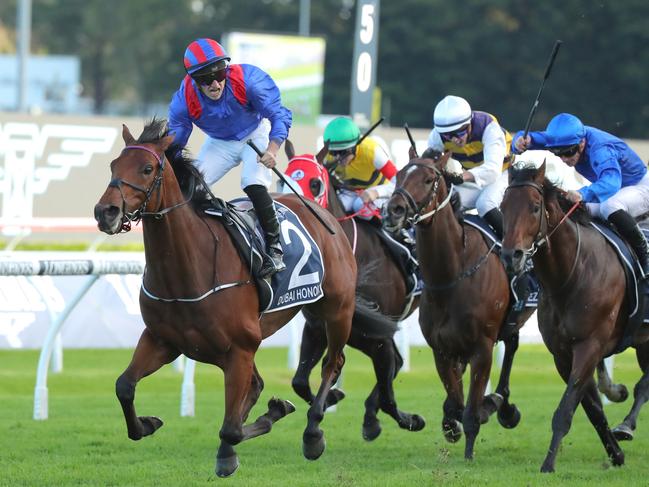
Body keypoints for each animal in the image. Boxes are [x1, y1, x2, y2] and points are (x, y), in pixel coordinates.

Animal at [93, 120, 356, 478]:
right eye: (113, 166)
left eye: (147, 169)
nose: (105, 212)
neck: (188, 269)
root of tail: (316, 207)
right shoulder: (163, 340)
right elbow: (124, 386)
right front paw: (146, 423)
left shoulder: (239, 349)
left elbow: (231, 428)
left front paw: (230, 453)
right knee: (260, 384)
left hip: (337, 309)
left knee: (333, 362)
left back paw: (313, 432)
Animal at [284, 141, 426, 442]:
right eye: (284, 178)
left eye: (315, 183)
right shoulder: (318, 326)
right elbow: (300, 381)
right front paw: (332, 398)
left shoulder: (377, 333)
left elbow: (387, 390)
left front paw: (408, 419)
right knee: (395, 363)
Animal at [382, 150, 528, 462]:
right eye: (399, 175)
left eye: (428, 179)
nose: (394, 211)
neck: (451, 275)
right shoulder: (443, 351)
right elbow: (456, 402)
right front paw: (452, 424)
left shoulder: (482, 349)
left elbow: (470, 409)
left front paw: (470, 445)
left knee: (511, 347)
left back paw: (503, 406)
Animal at [498, 160, 648, 472]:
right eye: (503, 206)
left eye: (534, 207)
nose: (511, 256)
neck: (570, 275)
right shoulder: (562, 353)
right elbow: (593, 410)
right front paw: (616, 454)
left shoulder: (589, 346)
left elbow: (565, 409)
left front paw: (548, 464)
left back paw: (627, 424)